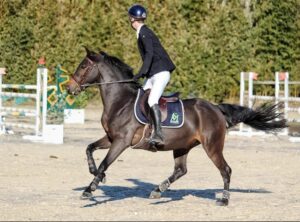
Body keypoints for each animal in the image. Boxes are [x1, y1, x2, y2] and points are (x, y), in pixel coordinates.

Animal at [67, 47, 288, 206]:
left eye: (83, 66)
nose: (70, 88)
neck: (121, 102)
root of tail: (215, 108)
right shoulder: (111, 138)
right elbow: (89, 149)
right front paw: (96, 175)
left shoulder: (122, 141)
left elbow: (105, 162)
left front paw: (89, 190)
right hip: (182, 146)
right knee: (181, 170)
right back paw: (158, 190)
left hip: (212, 146)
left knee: (225, 170)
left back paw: (224, 200)